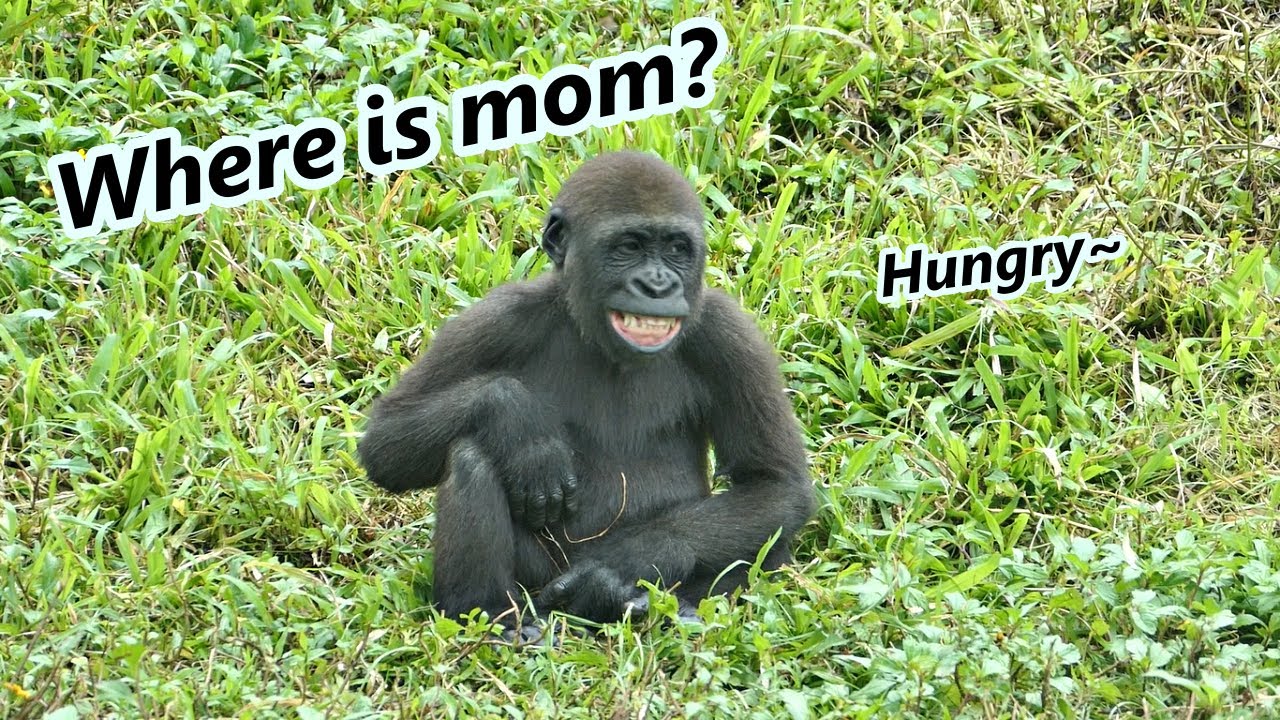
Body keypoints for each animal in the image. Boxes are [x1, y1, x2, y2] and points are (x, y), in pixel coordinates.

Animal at [357, 151, 815, 636]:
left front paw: (624, 562)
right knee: (470, 455)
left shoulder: (728, 334)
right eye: (629, 246)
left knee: (770, 544)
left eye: (676, 249)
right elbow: (386, 442)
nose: (658, 286)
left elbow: (775, 485)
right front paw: (520, 422)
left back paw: (648, 603)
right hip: (540, 585)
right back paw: (490, 614)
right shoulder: (498, 318)